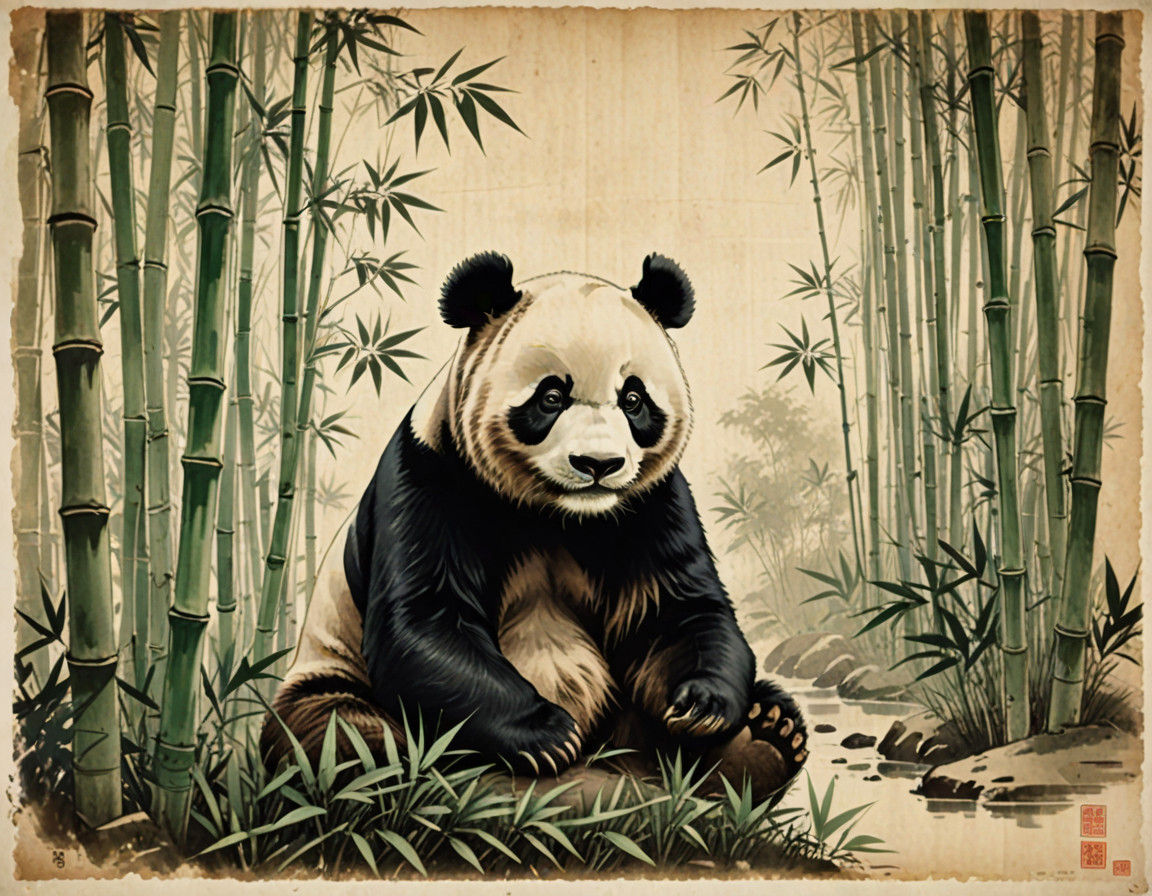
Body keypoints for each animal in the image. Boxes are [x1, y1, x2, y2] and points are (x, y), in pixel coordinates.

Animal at [260, 252, 808, 800]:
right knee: (342, 734)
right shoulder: (429, 479)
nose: (598, 464)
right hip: (327, 670)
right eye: (551, 398)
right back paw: (411, 768)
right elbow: (428, 619)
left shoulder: (652, 505)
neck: (558, 513)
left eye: (633, 400)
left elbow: (674, 610)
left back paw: (765, 736)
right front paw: (546, 733)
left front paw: (702, 704)